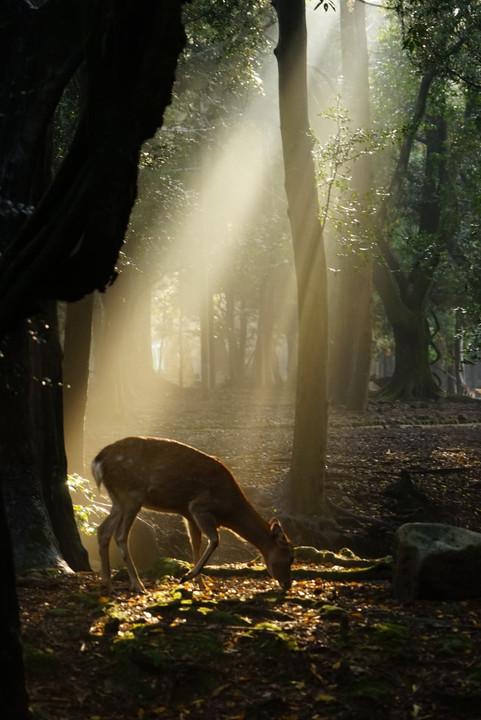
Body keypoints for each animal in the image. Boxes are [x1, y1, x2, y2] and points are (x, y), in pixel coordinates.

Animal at [90, 436, 292, 592]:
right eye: (289, 556)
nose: (288, 584)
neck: (229, 510)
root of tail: (98, 461)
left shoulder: (188, 514)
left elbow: (195, 544)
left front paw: (201, 584)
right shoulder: (199, 507)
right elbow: (215, 540)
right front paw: (187, 577)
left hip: (117, 500)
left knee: (103, 530)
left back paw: (108, 584)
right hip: (131, 494)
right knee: (120, 535)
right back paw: (138, 585)